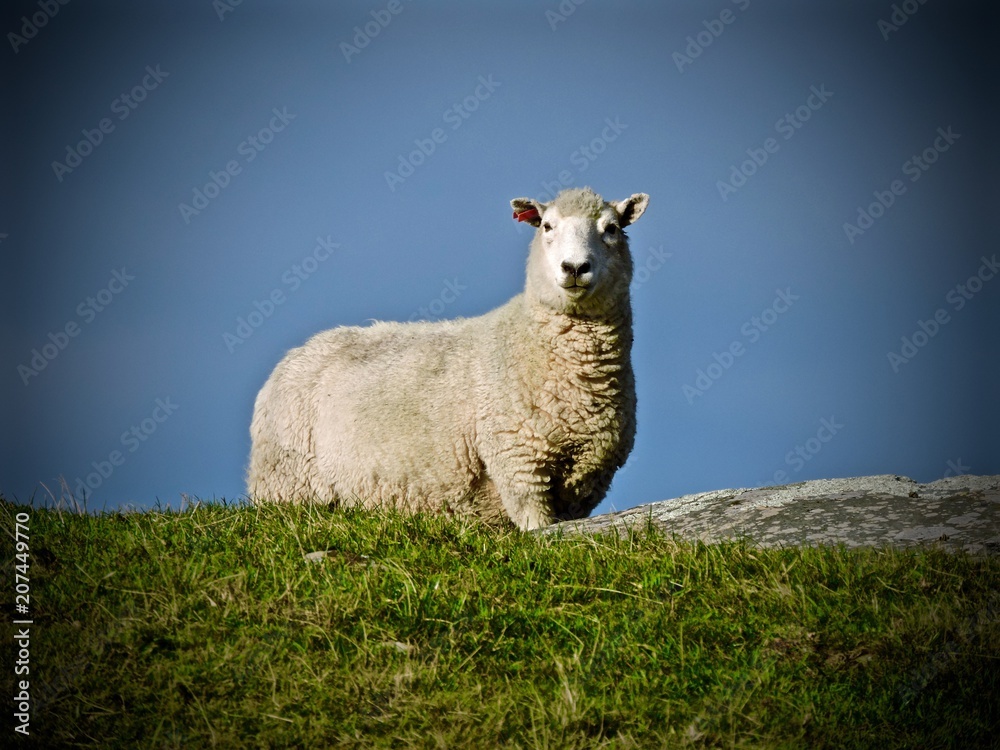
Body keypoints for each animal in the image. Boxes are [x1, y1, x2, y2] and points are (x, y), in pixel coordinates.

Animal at [247, 186, 649, 530]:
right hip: (287, 482)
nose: (575, 268)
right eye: (547, 226)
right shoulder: (518, 463)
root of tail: (297, 352)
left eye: (612, 229)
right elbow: (536, 527)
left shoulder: (584, 481)